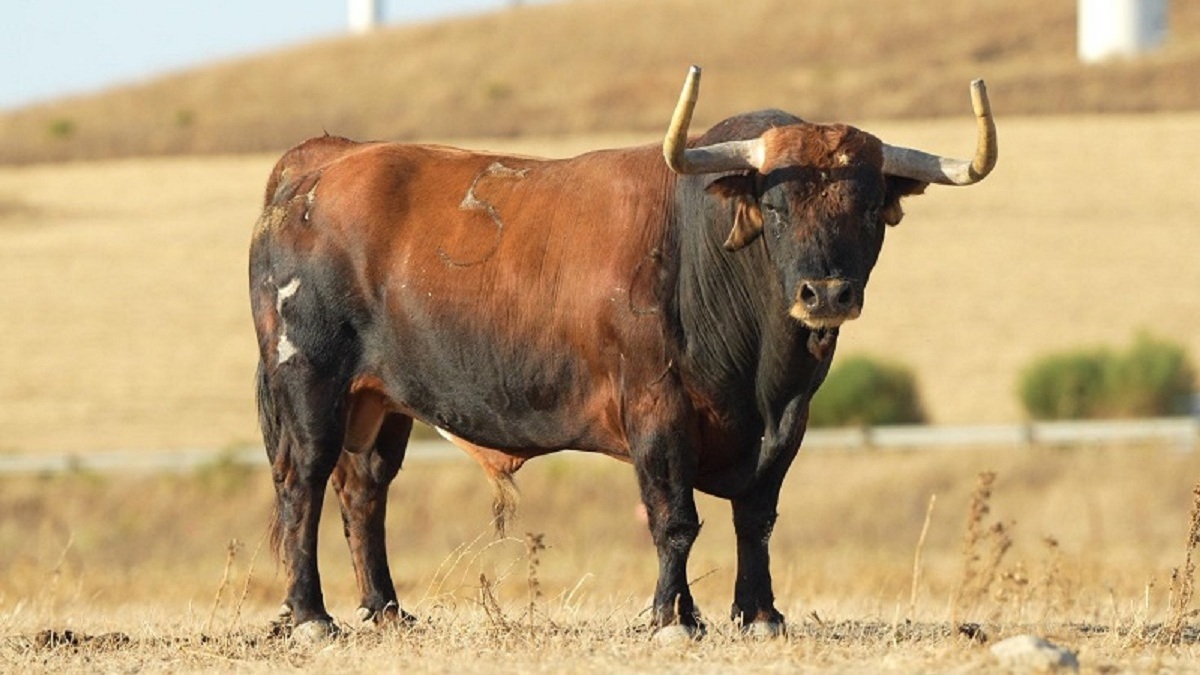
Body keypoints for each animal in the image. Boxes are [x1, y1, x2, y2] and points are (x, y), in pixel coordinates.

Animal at [248, 65, 998, 638]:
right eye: (778, 207)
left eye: (869, 209)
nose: (827, 293)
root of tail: (322, 161)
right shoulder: (657, 409)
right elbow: (675, 519)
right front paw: (674, 617)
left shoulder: (788, 422)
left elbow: (755, 518)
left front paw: (758, 614)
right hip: (310, 380)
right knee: (303, 482)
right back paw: (312, 615)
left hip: (378, 401)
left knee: (363, 489)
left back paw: (386, 609)